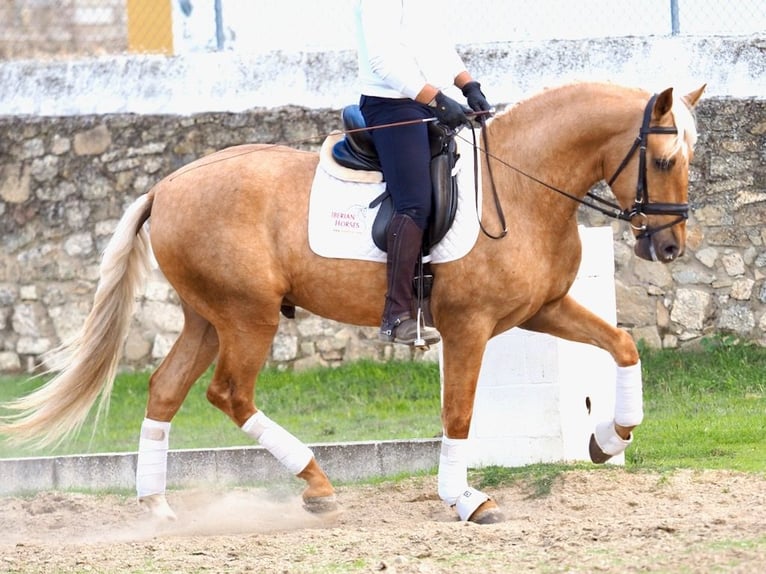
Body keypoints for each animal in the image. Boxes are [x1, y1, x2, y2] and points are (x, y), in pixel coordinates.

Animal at [0, 82, 708, 528]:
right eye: (664, 159)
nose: (671, 245)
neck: (522, 183)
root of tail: (167, 185)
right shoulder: (469, 327)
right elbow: (458, 414)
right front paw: (465, 500)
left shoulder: (543, 309)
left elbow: (624, 345)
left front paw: (608, 438)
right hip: (247, 316)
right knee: (229, 393)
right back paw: (315, 484)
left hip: (207, 317)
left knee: (166, 391)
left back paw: (158, 508)